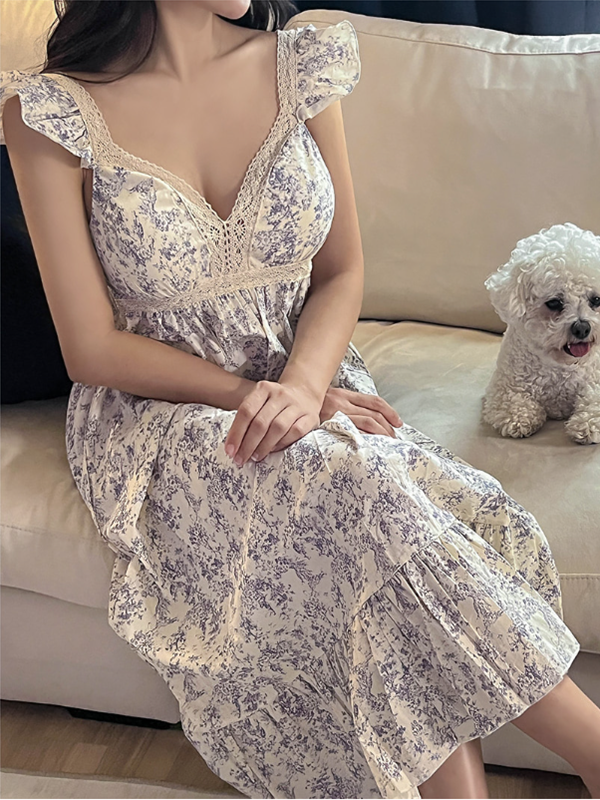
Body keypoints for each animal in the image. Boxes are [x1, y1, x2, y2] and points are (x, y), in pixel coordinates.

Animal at [482, 222, 600, 445]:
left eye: (596, 300)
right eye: (554, 303)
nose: (582, 327)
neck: (562, 365)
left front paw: (586, 424)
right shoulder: (503, 389)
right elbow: (514, 408)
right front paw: (520, 419)